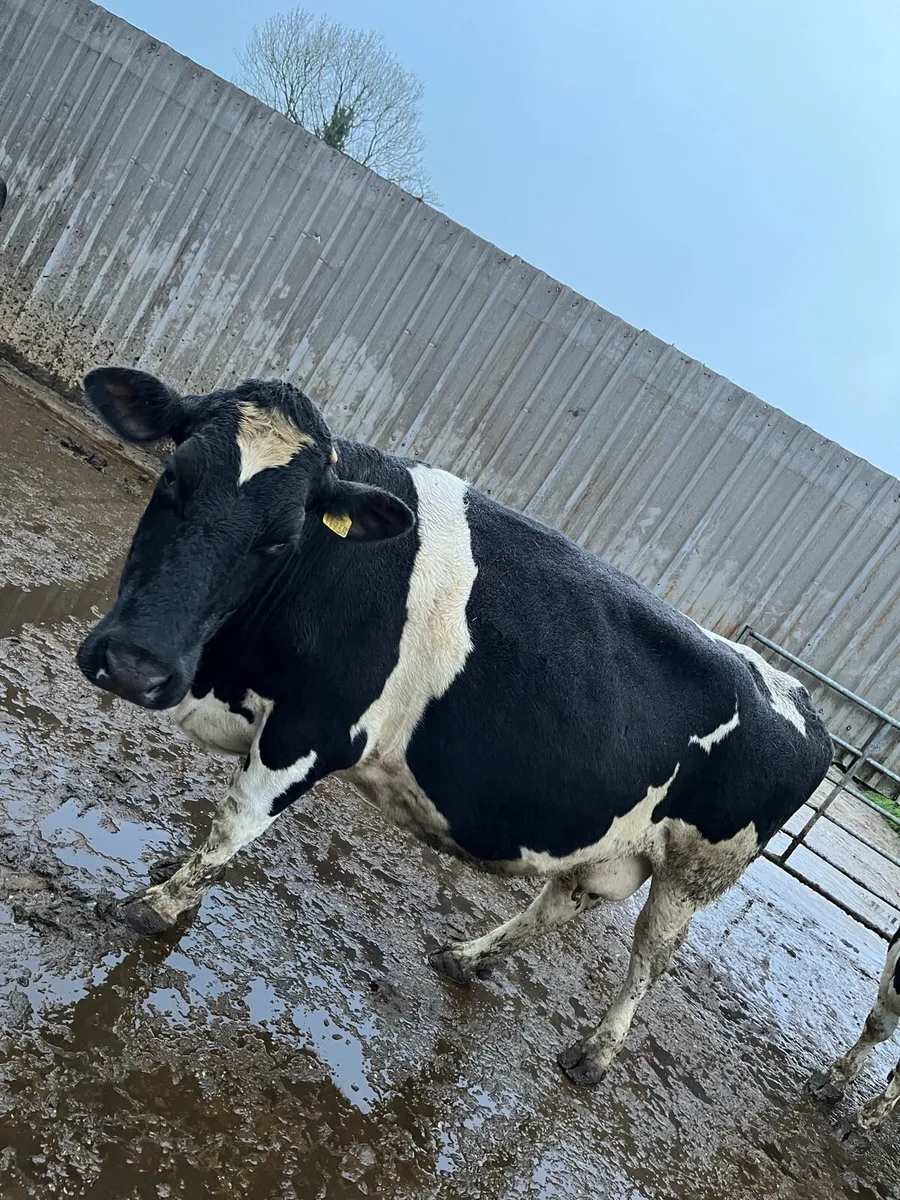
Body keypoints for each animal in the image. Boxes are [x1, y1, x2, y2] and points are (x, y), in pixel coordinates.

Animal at [75, 367, 833, 1086]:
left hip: (697, 870)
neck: (222, 670)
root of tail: (794, 693)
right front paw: (174, 878)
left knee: (651, 955)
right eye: (174, 476)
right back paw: (466, 957)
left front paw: (160, 904)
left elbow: (235, 822)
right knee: (562, 901)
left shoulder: (314, 730)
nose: (135, 664)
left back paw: (594, 1055)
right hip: (610, 837)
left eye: (283, 537)